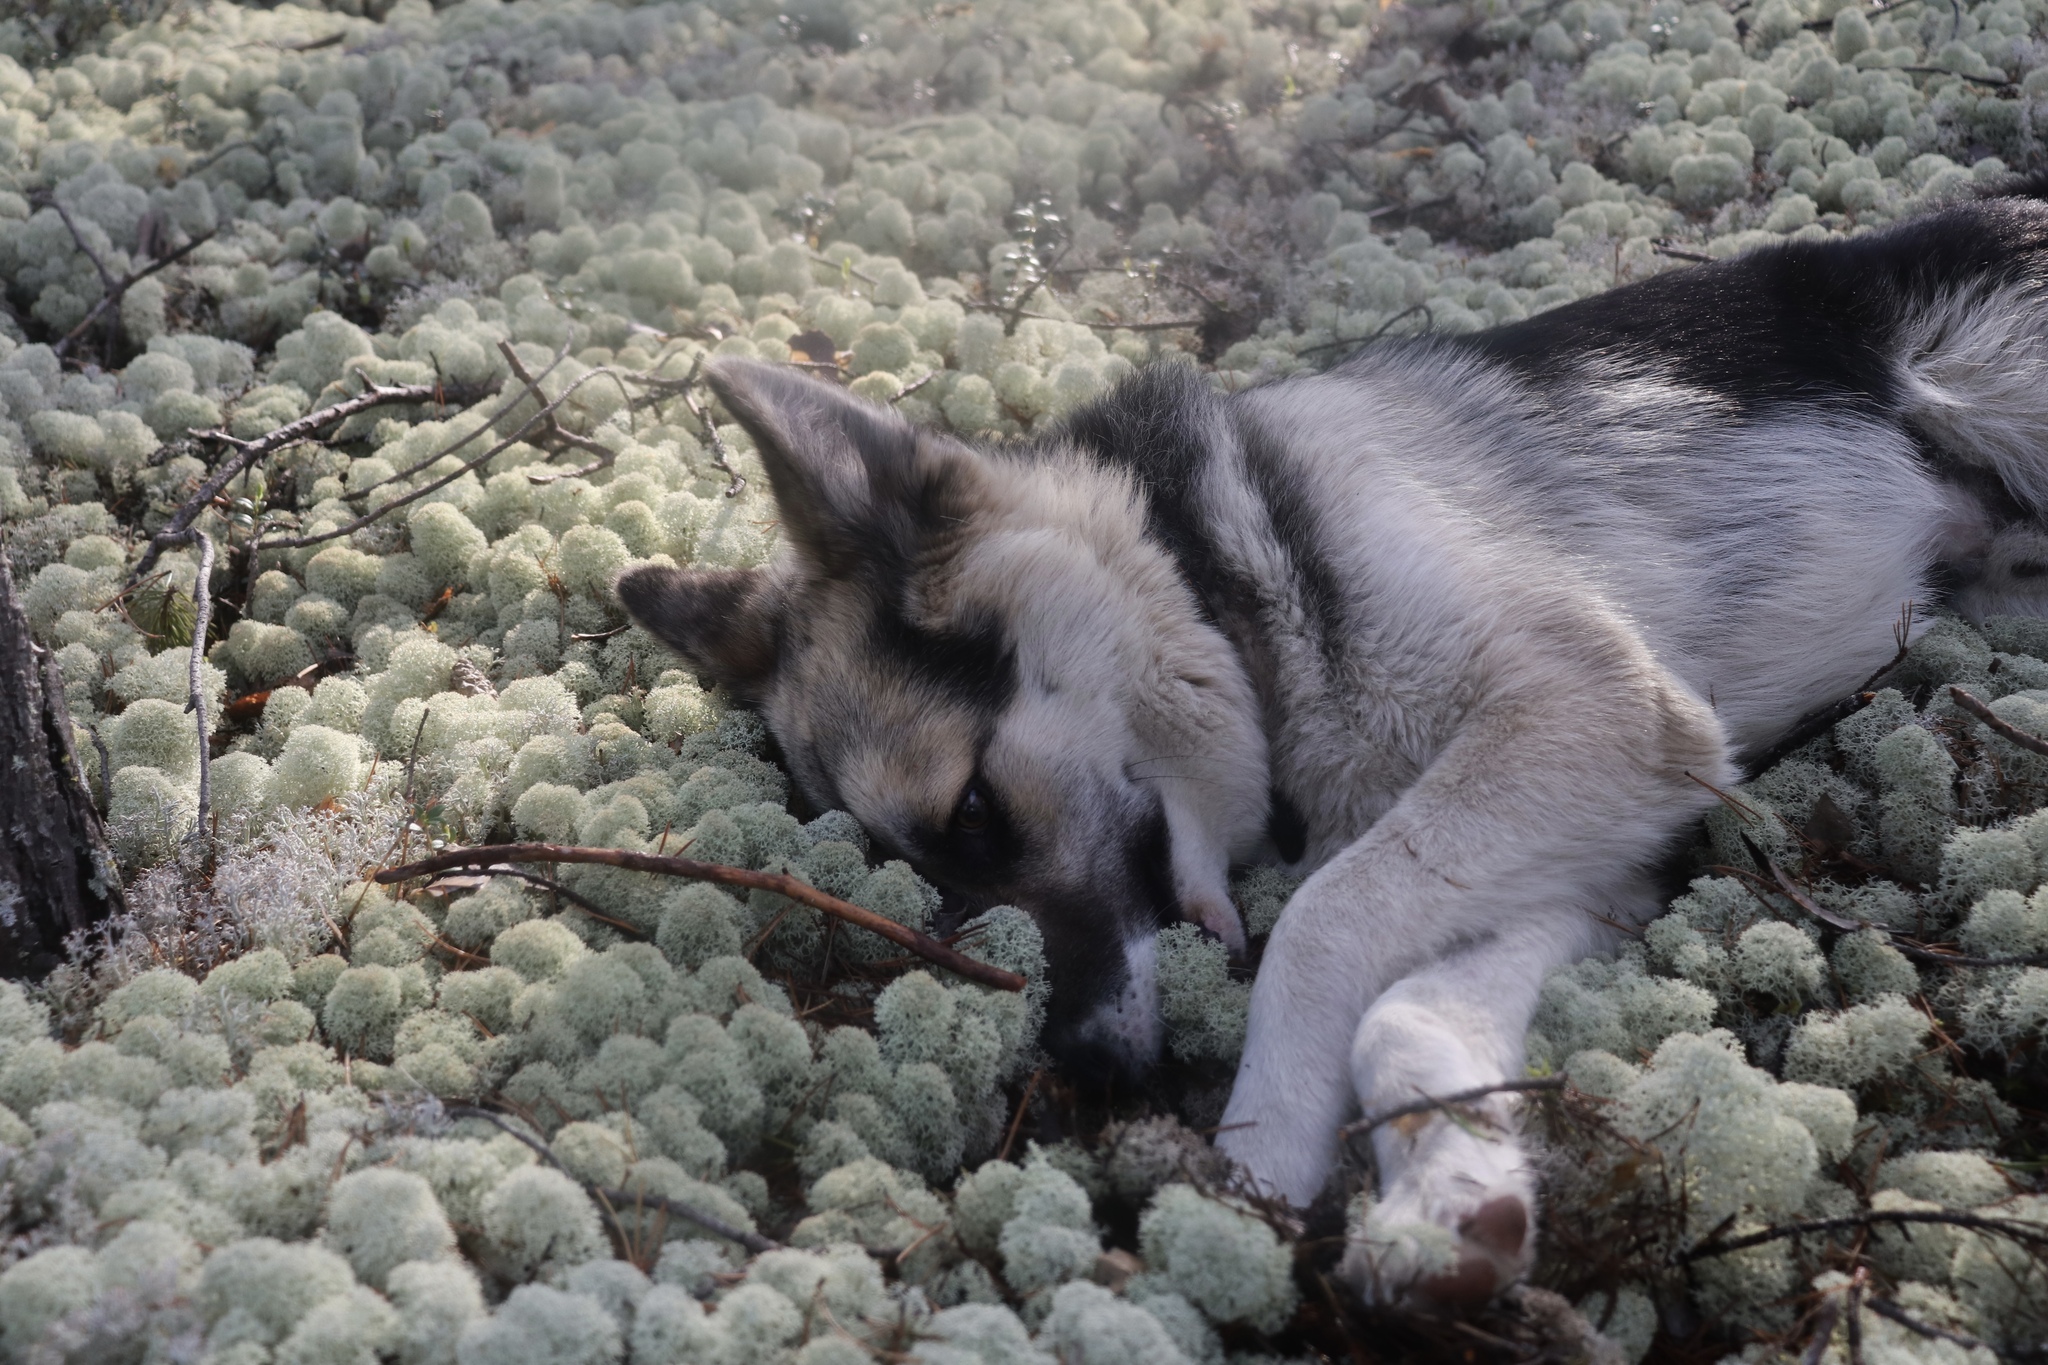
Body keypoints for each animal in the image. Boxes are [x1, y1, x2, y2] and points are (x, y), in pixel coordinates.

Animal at [614, 179, 2048, 1301]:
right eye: (920, 886)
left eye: (973, 811)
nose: (1088, 1075)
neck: (1217, 580)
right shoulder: (1593, 870)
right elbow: (1409, 1012)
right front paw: (1446, 1200)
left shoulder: (1590, 716)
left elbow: (1320, 924)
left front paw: (1254, 1165)